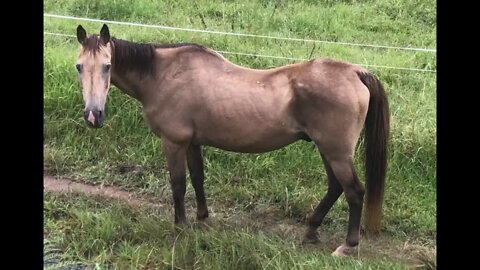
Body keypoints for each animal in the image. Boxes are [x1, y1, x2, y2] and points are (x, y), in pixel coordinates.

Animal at [75, 24, 390, 256]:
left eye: (107, 65)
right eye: (79, 66)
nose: (93, 115)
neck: (163, 75)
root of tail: (355, 72)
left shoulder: (174, 142)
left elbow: (178, 184)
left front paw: (180, 225)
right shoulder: (192, 142)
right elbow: (198, 178)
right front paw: (202, 217)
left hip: (336, 152)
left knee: (354, 192)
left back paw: (347, 245)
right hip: (328, 150)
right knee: (336, 187)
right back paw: (311, 231)